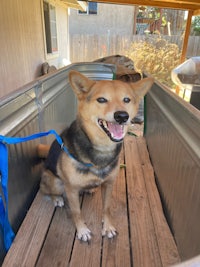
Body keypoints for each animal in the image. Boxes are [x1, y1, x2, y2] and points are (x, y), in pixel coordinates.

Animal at [40, 70, 153, 243]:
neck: (102, 149)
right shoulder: (71, 189)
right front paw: (82, 230)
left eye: (127, 100)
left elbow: (107, 208)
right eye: (101, 99)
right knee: (46, 190)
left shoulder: (108, 184)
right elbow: (77, 212)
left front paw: (108, 227)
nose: (122, 116)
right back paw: (57, 198)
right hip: (54, 181)